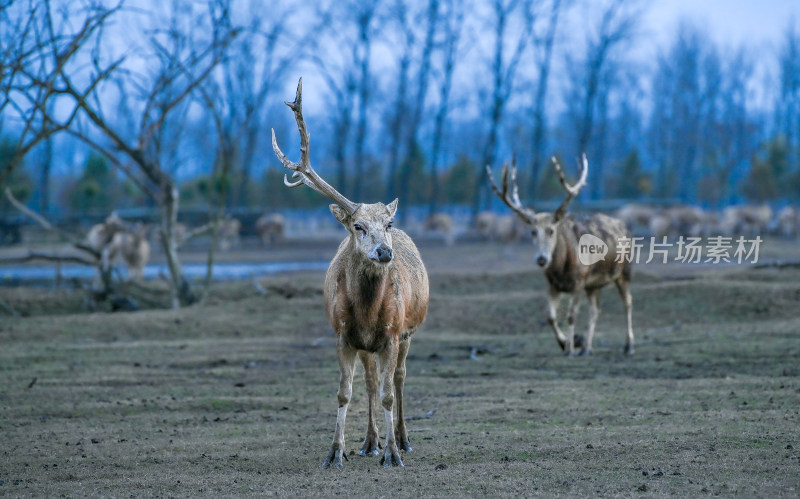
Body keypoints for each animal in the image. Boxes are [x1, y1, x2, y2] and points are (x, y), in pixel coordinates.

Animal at [272, 78, 428, 468]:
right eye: (357, 226)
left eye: (388, 224)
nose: (385, 251)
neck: (368, 312)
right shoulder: (343, 334)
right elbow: (345, 393)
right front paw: (335, 452)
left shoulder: (392, 333)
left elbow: (388, 394)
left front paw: (392, 455)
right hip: (366, 346)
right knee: (371, 382)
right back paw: (370, 442)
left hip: (408, 332)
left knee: (399, 379)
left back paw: (402, 439)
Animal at [484, 156, 636, 356]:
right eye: (533, 232)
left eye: (551, 230)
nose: (541, 259)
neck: (562, 269)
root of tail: (624, 225)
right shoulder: (553, 285)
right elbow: (550, 317)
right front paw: (567, 343)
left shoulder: (579, 280)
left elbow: (571, 316)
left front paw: (570, 348)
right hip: (594, 285)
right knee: (596, 309)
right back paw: (586, 347)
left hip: (624, 271)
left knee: (628, 303)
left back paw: (628, 345)